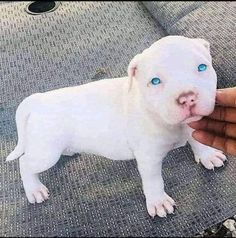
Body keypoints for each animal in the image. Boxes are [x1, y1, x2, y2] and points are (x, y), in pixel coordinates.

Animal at [6, 34, 226, 218]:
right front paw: (158, 202)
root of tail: (38, 100)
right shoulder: (148, 158)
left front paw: (208, 155)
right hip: (46, 152)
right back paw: (34, 189)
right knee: (25, 163)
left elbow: (197, 140)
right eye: (155, 81)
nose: (187, 97)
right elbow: (154, 180)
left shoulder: (191, 125)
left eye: (202, 68)